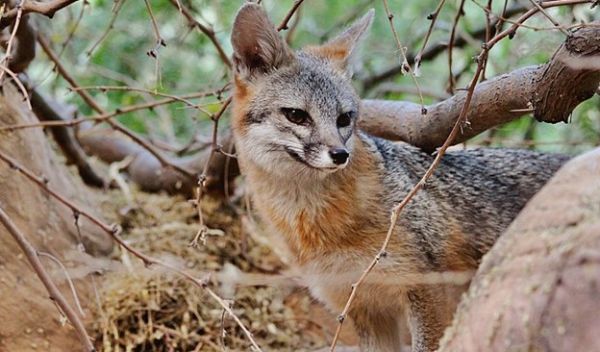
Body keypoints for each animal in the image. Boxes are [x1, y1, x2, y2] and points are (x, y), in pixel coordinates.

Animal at [230, 3, 568, 352]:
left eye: (344, 118)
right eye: (296, 115)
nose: (340, 155)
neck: (317, 224)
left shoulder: (427, 290)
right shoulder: (366, 308)